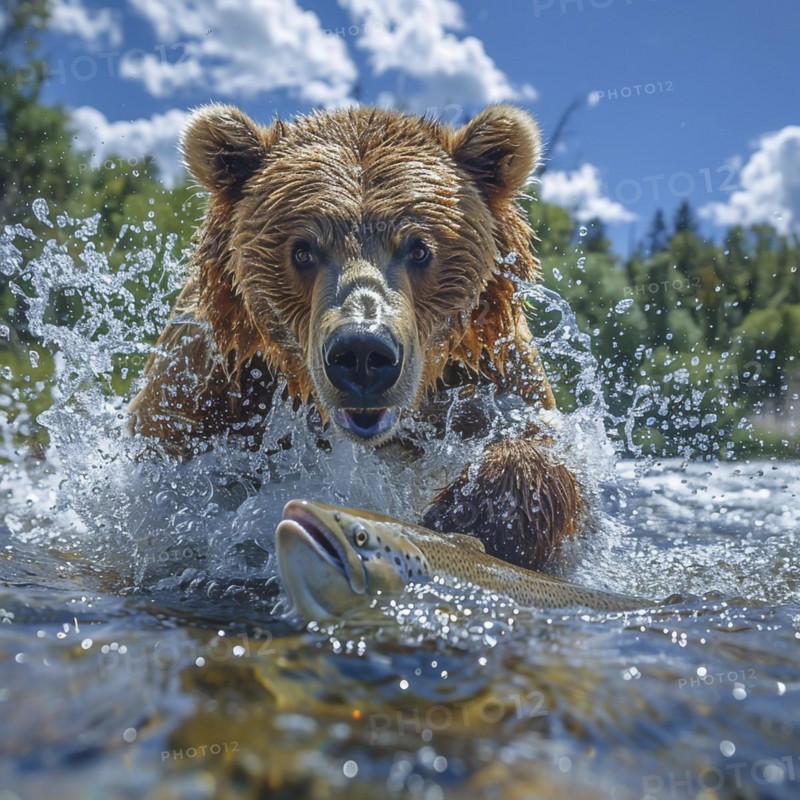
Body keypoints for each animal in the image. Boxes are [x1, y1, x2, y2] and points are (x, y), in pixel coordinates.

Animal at [128, 103, 582, 570]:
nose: (363, 353)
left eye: (420, 248)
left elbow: (543, 449)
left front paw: (473, 516)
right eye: (302, 250)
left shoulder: (491, 368)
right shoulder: (208, 385)